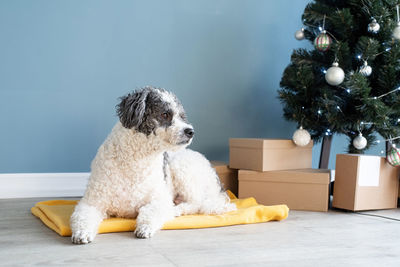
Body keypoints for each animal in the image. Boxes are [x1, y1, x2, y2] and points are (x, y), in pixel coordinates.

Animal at [70, 86, 236, 245]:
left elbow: (150, 212)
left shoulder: (159, 200)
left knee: (197, 203)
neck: (135, 161)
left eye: (182, 116)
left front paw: (144, 228)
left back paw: (177, 209)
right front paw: (81, 233)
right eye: (165, 114)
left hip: (182, 168)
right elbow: (82, 217)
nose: (190, 131)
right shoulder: (92, 202)